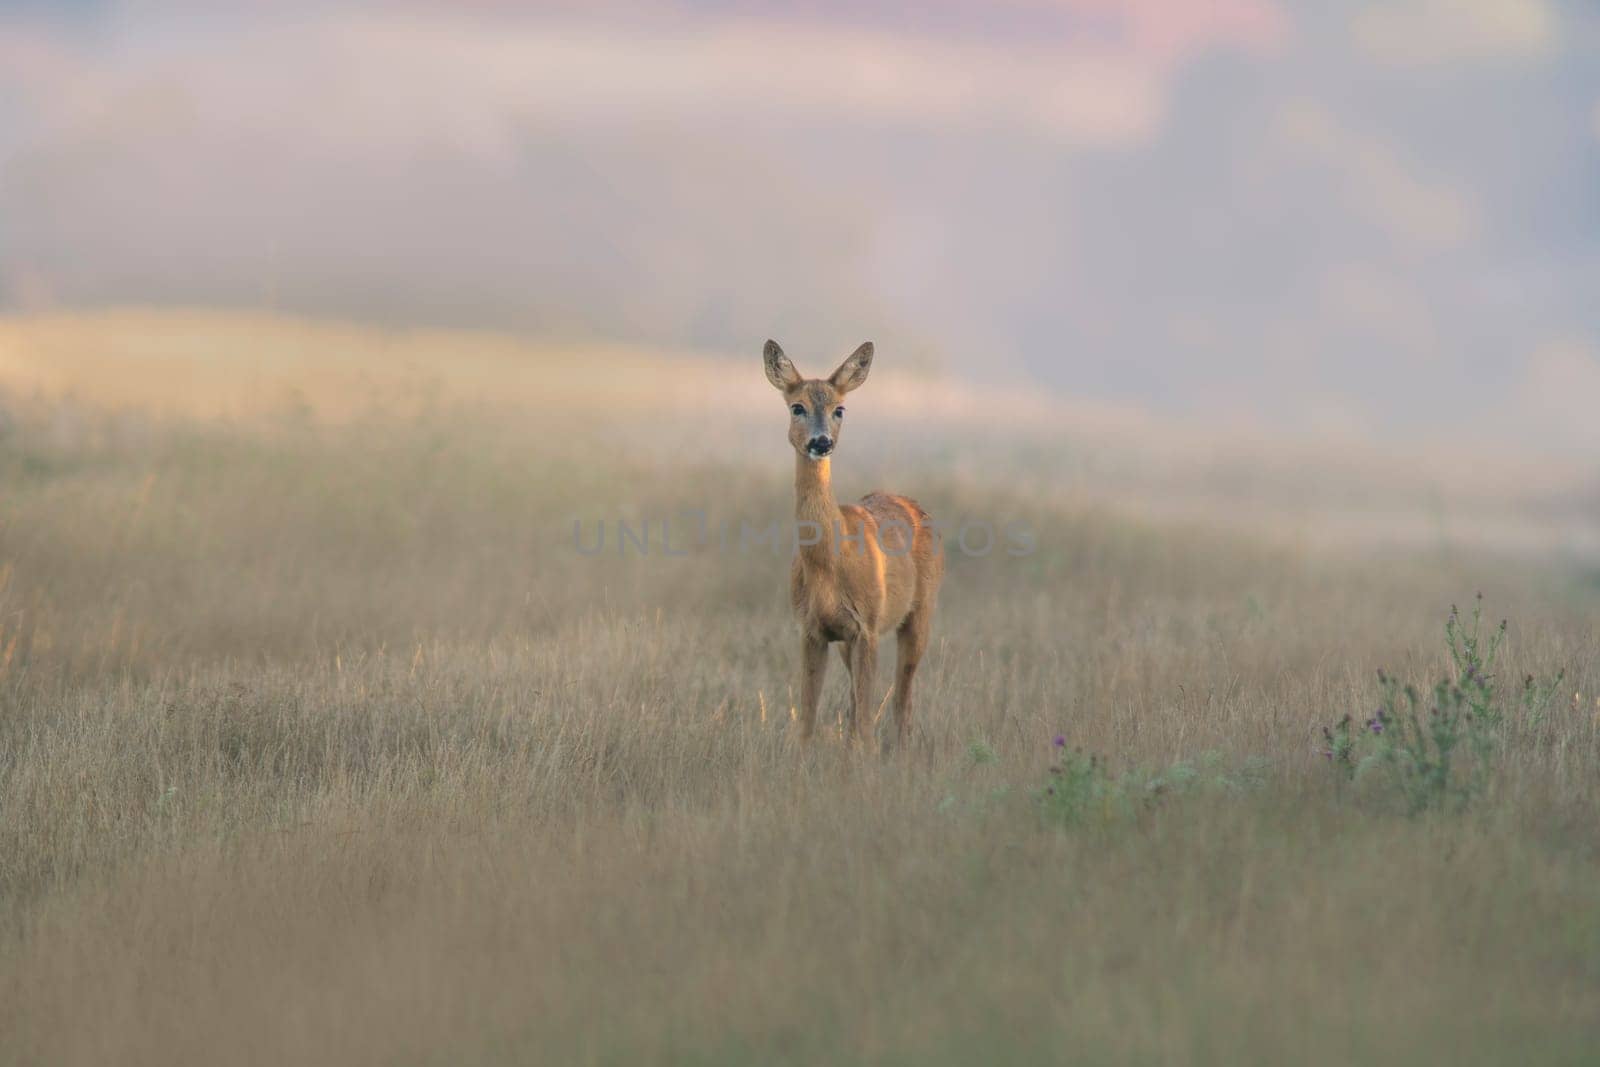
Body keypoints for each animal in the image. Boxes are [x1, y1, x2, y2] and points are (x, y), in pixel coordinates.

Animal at [758, 340, 934, 751]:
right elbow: (807, 721)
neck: (831, 563)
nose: (821, 442)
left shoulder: (866, 625)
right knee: (859, 704)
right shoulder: (812, 628)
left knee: (901, 699)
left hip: (921, 611)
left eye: (839, 409)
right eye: (797, 407)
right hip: (846, 644)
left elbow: (867, 725)